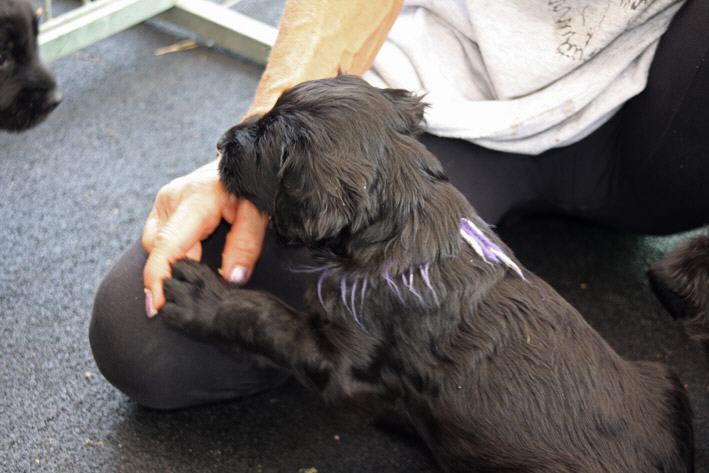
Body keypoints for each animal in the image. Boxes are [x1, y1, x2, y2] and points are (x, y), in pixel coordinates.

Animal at [159, 76, 694, 472]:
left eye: (268, 140)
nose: (222, 142)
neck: (405, 215)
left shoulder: (345, 358)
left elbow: (271, 316)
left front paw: (200, 296)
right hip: (665, 378)